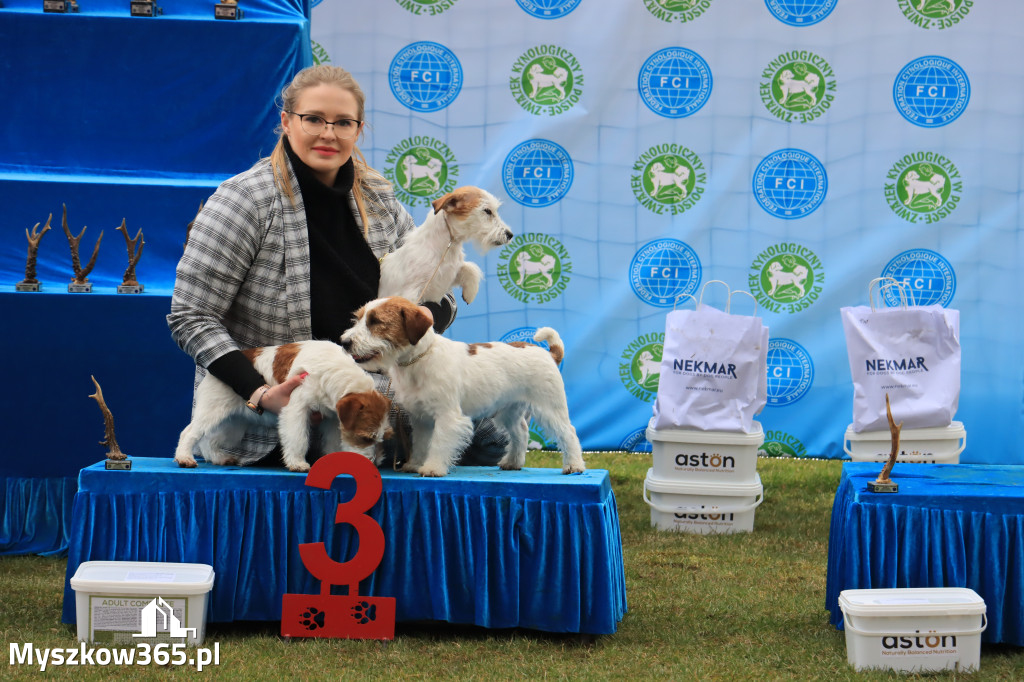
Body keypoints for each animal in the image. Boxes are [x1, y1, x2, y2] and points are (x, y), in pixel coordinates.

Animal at [174, 337, 389, 471]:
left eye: (380, 439)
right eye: (365, 437)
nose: (374, 463)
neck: (333, 370)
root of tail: (211, 372)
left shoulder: (332, 418)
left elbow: (333, 441)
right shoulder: (297, 409)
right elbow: (298, 437)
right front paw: (297, 463)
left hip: (232, 423)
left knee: (209, 440)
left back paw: (219, 457)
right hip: (212, 410)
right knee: (189, 433)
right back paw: (184, 458)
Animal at [342, 294, 585, 475]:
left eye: (376, 322)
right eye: (358, 319)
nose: (344, 342)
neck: (418, 359)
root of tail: (548, 353)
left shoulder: (447, 416)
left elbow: (439, 442)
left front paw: (433, 468)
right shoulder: (420, 419)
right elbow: (421, 443)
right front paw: (415, 464)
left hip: (549, 406)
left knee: (568, 432)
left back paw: (574, 465)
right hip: (509, 410)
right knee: (521, 432)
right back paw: (513, 462)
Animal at [378, 184, 512, 303]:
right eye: (487, 211)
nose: (510, 235)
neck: (448, 245)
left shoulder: (448, 275)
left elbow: (470, 268)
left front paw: (470, 292)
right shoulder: (410, 292)